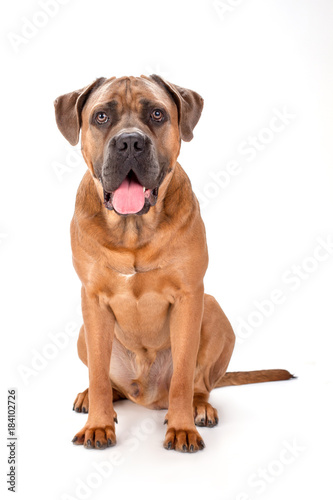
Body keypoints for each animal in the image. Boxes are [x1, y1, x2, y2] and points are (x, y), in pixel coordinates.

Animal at [53, 75, 292, 454]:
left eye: (157, 113)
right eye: (101, 117)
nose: (130, 142)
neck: (133, 228)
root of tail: (147, 396)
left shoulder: (189, 297)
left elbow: (182, 375)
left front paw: (182, 429)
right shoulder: (92, 300)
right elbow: (98, 373)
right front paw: (98, 424)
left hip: (213, 310)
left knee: (199, 384)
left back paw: (200, 408)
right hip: (83, 333)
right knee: (108, 381)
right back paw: (91, 397)